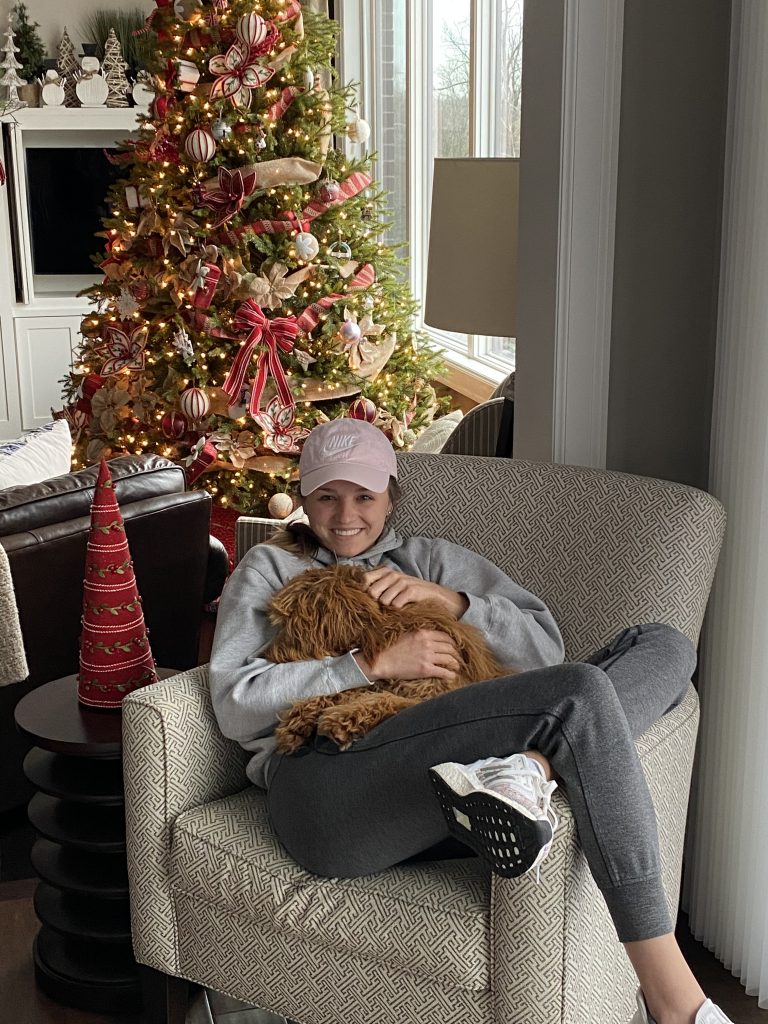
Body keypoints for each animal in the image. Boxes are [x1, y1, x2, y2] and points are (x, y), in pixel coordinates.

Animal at [264, 561, 512, 753]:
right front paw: (297, 721)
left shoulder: (431, 689)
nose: (264, 655)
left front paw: (344, 720)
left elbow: (387, 699)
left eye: (289, 625)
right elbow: (345, 690)